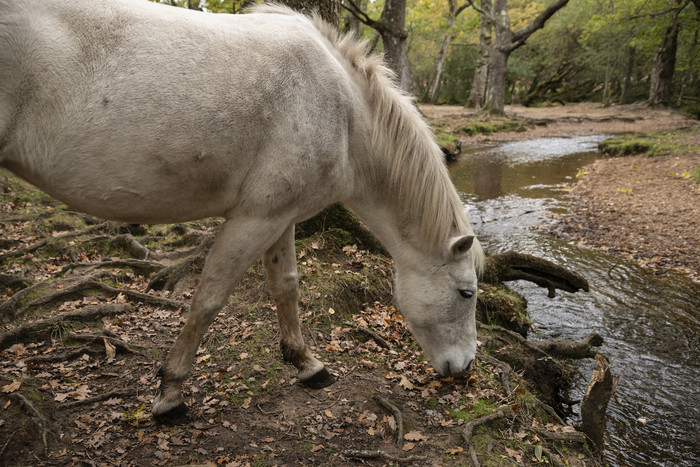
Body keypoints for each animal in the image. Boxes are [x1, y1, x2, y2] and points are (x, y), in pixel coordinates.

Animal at [0, 0, 482, 424]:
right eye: (466, 293)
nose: (464, 369)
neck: (344, 113)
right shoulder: (255, 219)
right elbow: (209, 299)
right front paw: (170, 395)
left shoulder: (279, 217)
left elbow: (286, 286)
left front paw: (307, 365)